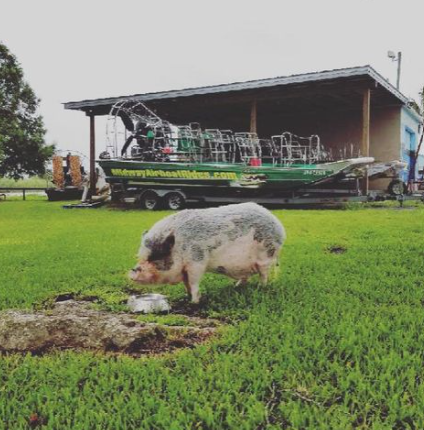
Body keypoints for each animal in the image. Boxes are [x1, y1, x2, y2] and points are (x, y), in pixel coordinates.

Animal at [129, 203, 286, 304]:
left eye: (156, 256)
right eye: (141, 256)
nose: (133, 271)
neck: (180, 246)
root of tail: (279, 225)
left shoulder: (197, 262)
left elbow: (194, 282)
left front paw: (194, 302)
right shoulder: (185, 269)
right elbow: (187, 283)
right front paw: (187, 297)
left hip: (266, 255)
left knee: (264, 274)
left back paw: (261, 288)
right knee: (245, 277)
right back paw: (235, 287)